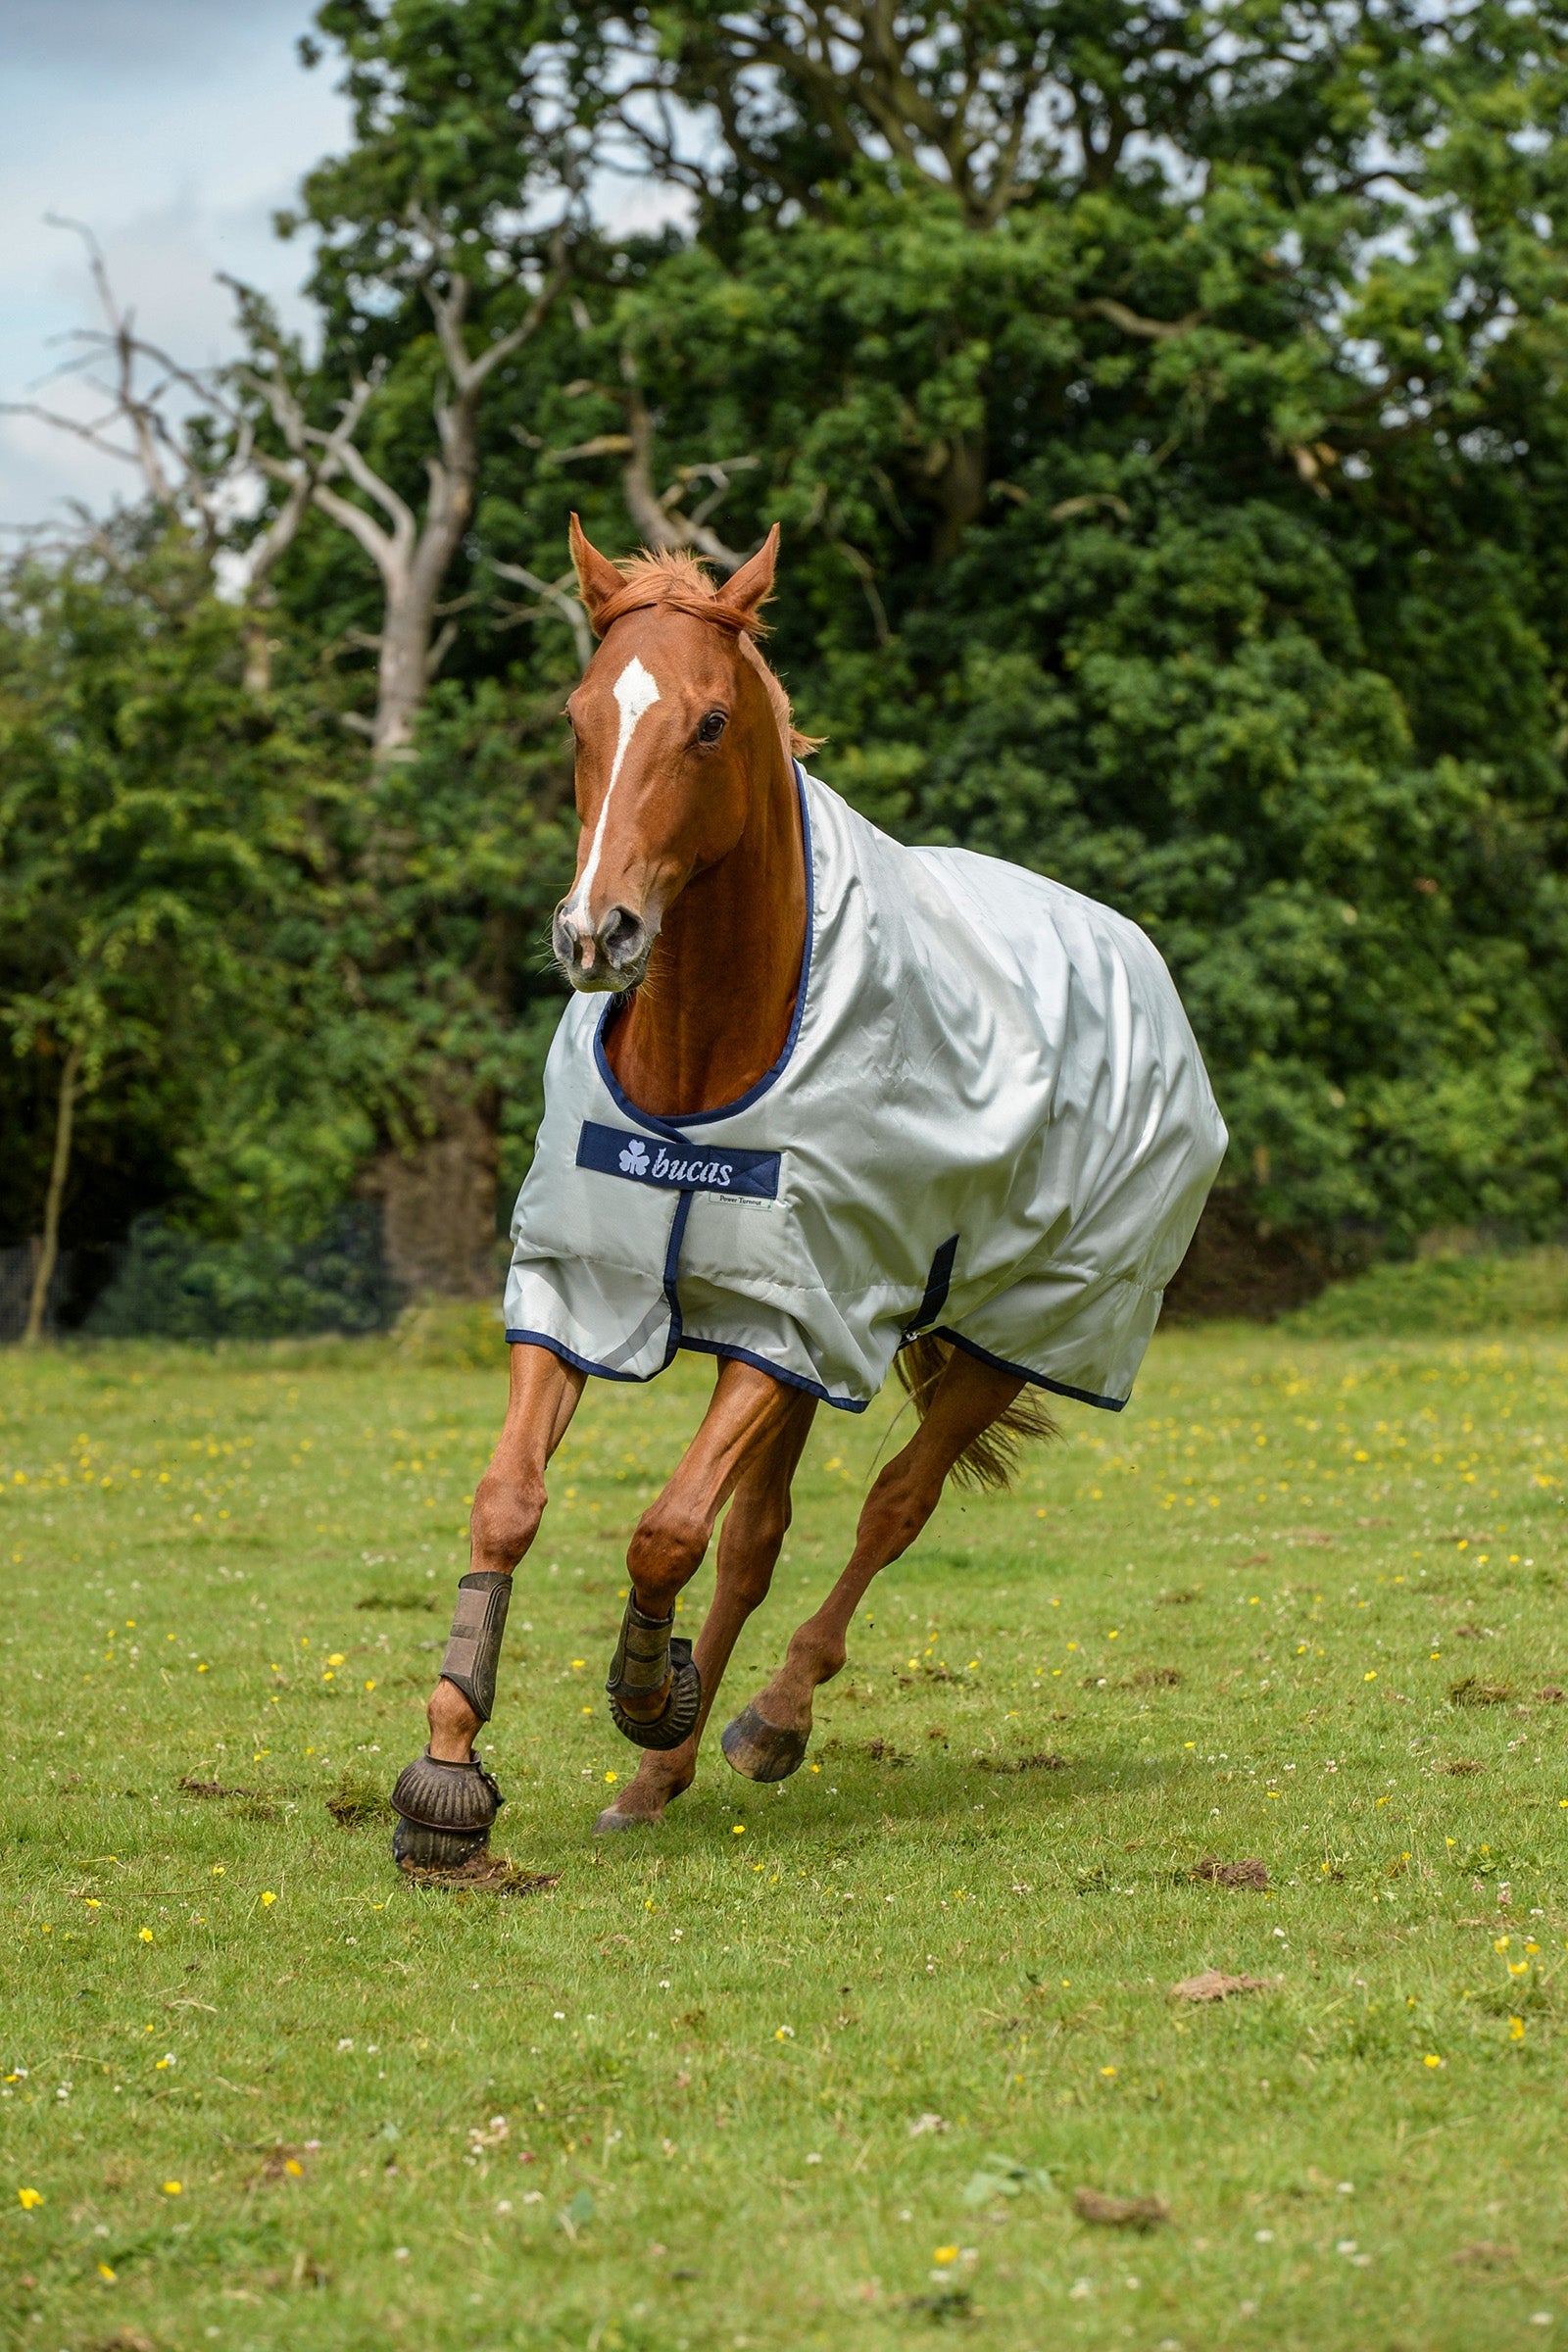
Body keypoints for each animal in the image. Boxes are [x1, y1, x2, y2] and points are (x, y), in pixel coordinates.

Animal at [389, 517, 1226, 1868]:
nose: (595, 936)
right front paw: (446, 1772)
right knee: (759, 1536)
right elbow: (513, 1503)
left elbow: (666, 1529)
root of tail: (1134, 955)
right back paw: (658, 1778)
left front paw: (646, 1689)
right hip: (797, 1346)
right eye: (577, 714)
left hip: (1005, 1334)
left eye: (711, 722)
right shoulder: (597, 1292)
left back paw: (763, 1720)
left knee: (891, 1507)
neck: (704, 1064)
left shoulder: (801, 1317)